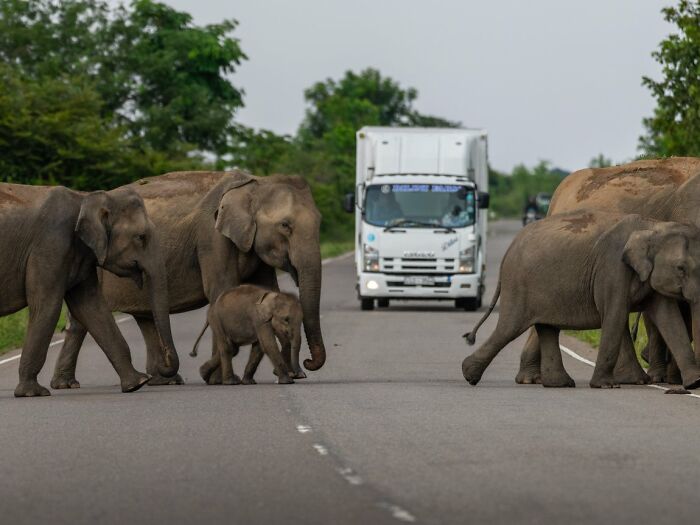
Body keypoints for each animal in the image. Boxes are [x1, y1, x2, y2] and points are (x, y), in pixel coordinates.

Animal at [0, 183, 178, 397]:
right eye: (141, 237)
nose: (163, 366)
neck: (85, 198)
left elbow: (92, 308)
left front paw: (137, 383)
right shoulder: (50, 246)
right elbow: (46, 306)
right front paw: (32, 393)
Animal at [51, 170, 325, 388]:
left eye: (320, 222)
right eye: (285, 225)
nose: (307, 363)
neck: (254, 183)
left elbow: (267, 288)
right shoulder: (212, 237)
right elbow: (221, 288)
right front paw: (219, 380)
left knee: (143, 316)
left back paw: (161, 380)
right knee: (82, 320)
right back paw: (68, 385)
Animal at [462, 210, 700, 390]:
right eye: (681, 268)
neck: (653, 226)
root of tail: (508, 249)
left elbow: (669, 319)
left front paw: (693, 383)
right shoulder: (611, 268)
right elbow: (615, 315)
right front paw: (606, 386)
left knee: (546, 328)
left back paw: (560, 384)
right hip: (519, 284)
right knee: (509, 328)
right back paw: (469, 375)